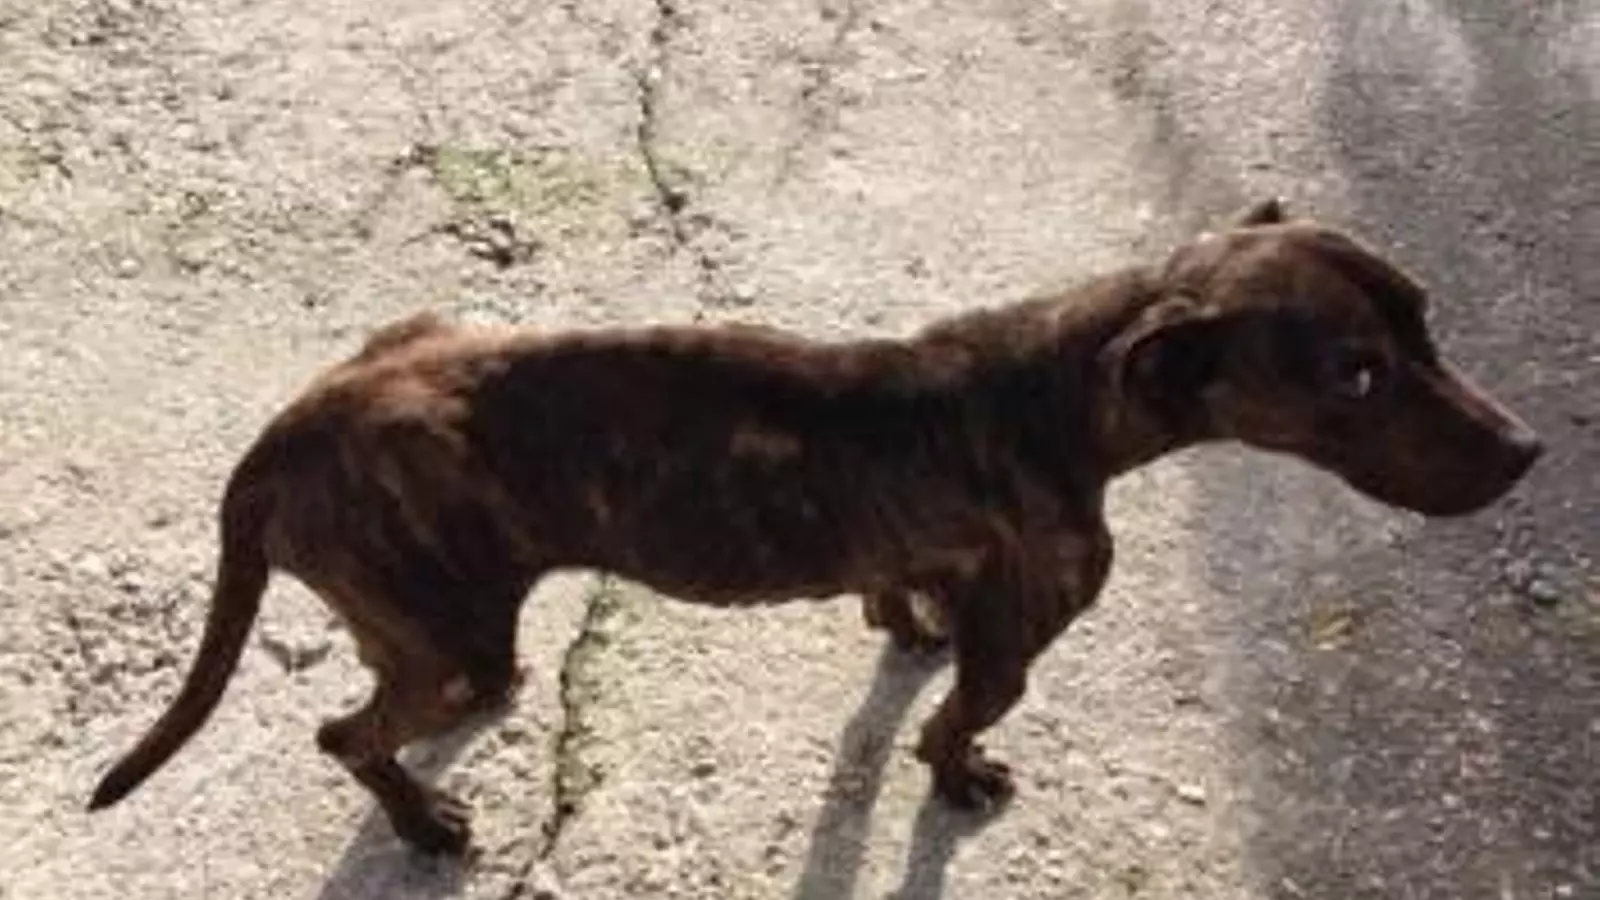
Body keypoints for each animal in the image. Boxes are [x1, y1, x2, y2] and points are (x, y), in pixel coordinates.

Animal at [86, 198, 1542, 854]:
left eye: (1425, 320)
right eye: (1357, 374)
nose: (1530, 449)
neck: (1057, 393)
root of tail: (285, 433)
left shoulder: (927, 556)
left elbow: (898, 608)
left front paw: (902, 631)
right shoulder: (1017, 641)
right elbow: (955, 720)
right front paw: (958, 775)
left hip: (432, 592)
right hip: (437, 632)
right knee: (350, 733)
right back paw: (426, 822)